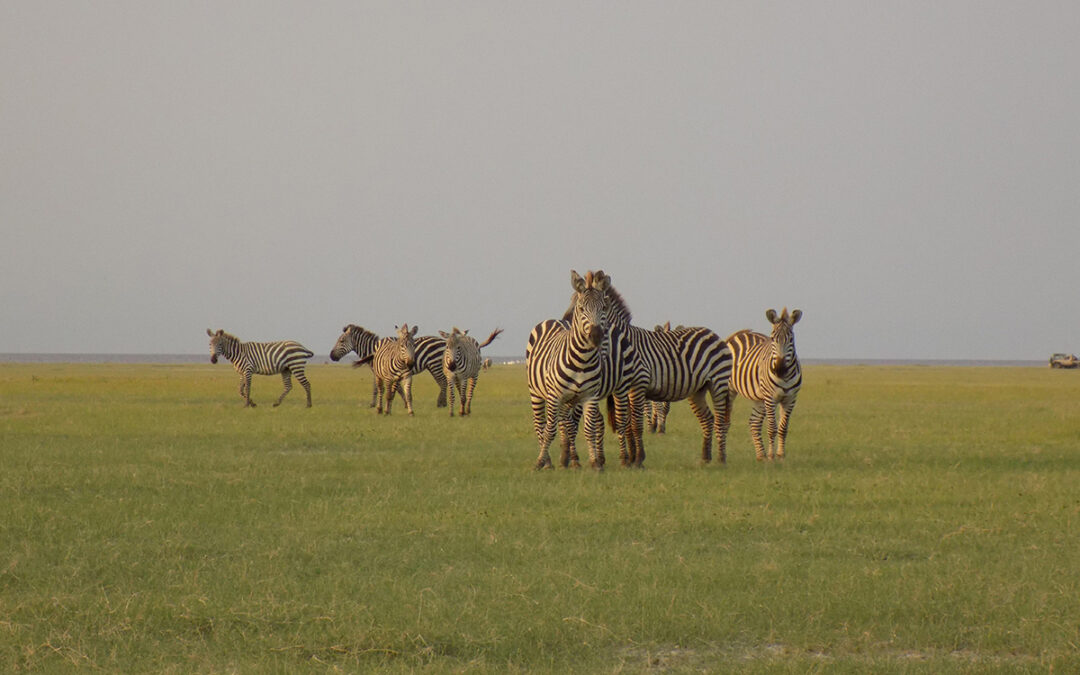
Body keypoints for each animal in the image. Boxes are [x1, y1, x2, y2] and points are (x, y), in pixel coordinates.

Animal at [524, 268, 639, 468]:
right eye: (579, 307)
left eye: (603, 308)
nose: (595, 335)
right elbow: (564, 426)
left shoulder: (603, 391)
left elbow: (593, 424)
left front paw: (594, 459)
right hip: (537, 391)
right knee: (542, 423)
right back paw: (550, 460)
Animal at [596, 285, 738, 468]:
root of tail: (714, 334)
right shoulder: (623, 390)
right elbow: (626, 423)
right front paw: (630, 458)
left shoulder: (637, 386)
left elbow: (635, 423)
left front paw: (637, 459)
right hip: (697, 389)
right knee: (708, 418)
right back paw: (705, 458)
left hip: (718, 383)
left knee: (720, 419)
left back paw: (721, 459)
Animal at [725, 308, 803, 460]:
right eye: (772, 339)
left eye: (791, 339)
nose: (779, 369)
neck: (784, 377)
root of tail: (740, 334)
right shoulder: (770, 398)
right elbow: (772, 428)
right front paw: (772, 457)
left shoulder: (790, 399)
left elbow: (783, 428)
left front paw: (780, 456)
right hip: (730, 390)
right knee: (724, 421)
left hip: (759, 398)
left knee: (754, 423)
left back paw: (761, 456)